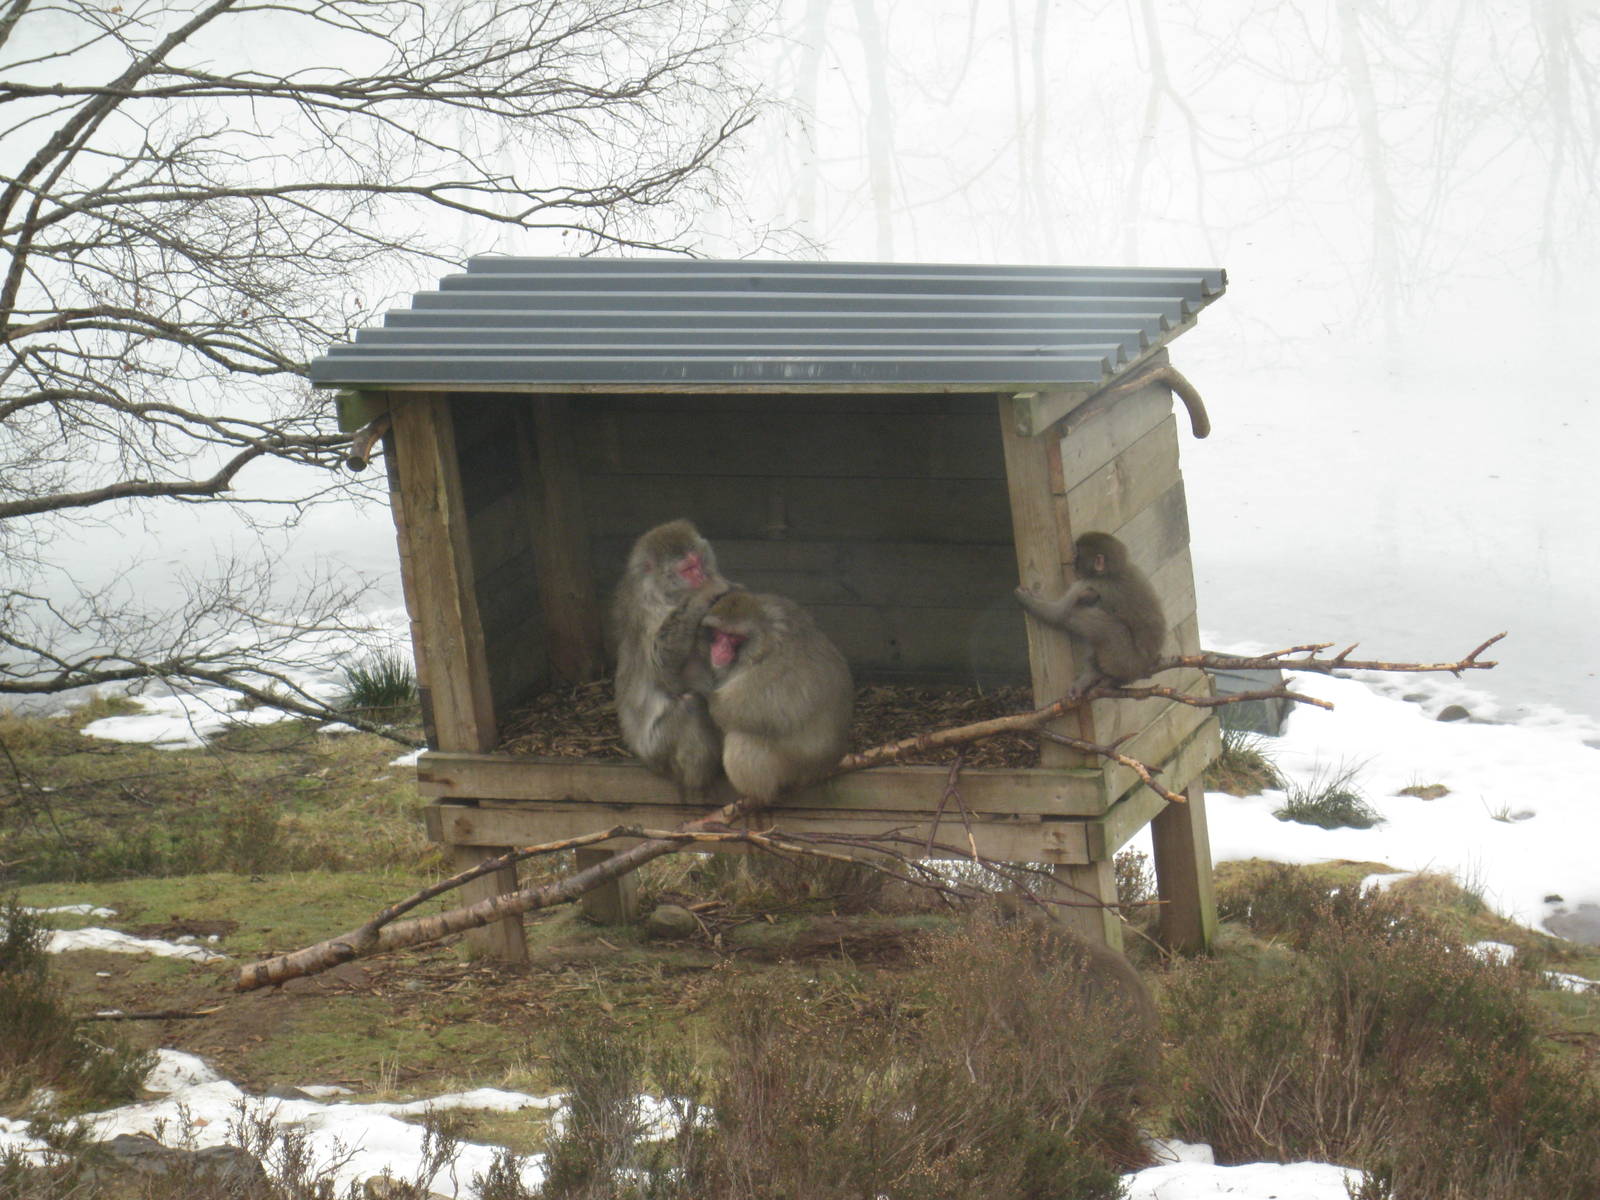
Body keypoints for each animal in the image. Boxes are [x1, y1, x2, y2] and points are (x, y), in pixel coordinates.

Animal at [611, 519, 731, 798]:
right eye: (687, 569)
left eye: (699, 562)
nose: (702, 576)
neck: (666, 593)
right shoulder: (647, 612)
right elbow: (663, 668)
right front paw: (703, 594)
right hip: (659, 752)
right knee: (690, 704)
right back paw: (699, 779)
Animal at [691, 590, 854, 805]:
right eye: (719, 634)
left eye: (734, 637)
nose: (721, 650)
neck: (766, 641)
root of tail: (829, 764)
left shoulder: (781, 665)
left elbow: (746, 710)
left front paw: (702, 693)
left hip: (794, 768)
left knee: (742, 738)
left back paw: (756, 797)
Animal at [1013, 531, 1166, 695]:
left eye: (1078, 555)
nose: (1072, 562)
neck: (1111, 572)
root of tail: (1142, 668)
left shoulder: (1086, 583)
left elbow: (1058, 614)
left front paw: (1025, 598)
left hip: (1123, 661)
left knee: (1094, 621)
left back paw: (1094, 674)